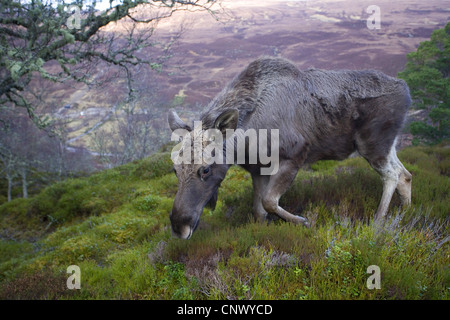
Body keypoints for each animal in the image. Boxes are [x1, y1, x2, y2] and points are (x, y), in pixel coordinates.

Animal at [168, 57, 412, 240]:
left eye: (205, 169)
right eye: (174, 169)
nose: (179, 226)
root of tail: (407, 91)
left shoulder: (293, 157)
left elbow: (269, 202)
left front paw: (303, 221)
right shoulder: (258, 169)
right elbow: (259, 210)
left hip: (372, 144)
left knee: (392, 175)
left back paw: (378, 222)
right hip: (388, 145)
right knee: (405, 174)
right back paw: (405, 214)